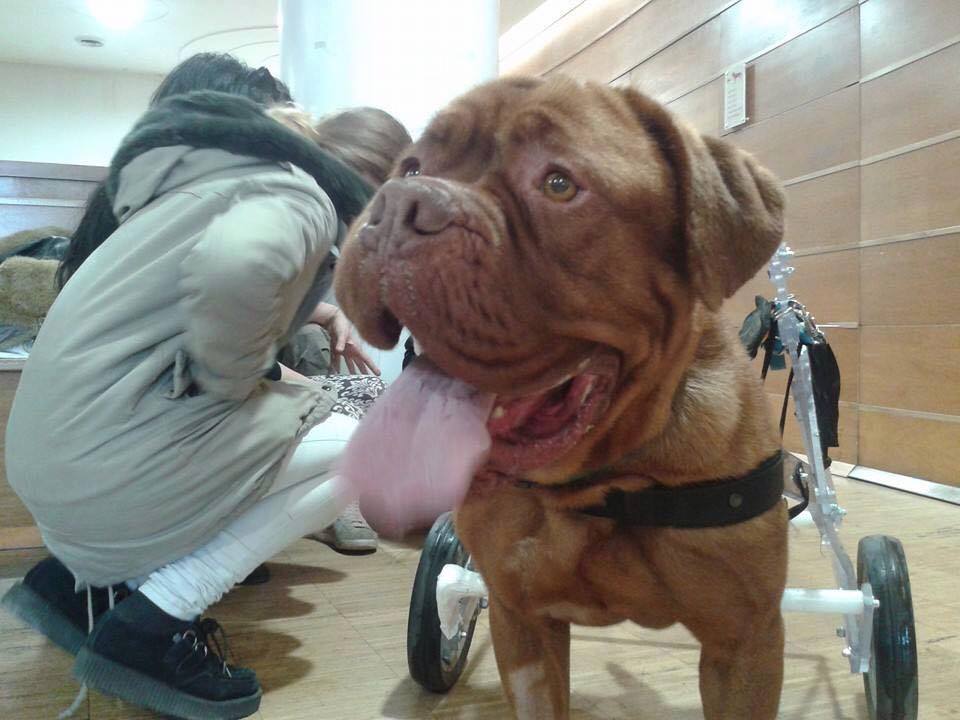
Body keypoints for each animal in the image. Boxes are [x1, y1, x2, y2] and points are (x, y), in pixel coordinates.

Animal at [335, 75, 788, 719]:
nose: (398, 203)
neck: (603, 483)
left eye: (558, 184)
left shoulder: (744, 642)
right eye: (412, 166)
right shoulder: (522, 622)